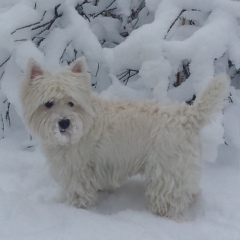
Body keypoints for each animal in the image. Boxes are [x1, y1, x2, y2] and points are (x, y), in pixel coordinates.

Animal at [19, 56, 230, 219]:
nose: (64, 123)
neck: (84, 123)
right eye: (48, 103)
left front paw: (76, 211)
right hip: (183, 168)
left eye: (71, 103)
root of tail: (187, 115)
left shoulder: (77, 171)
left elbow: (79, 194)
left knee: (169, 201)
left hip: (166, 170)